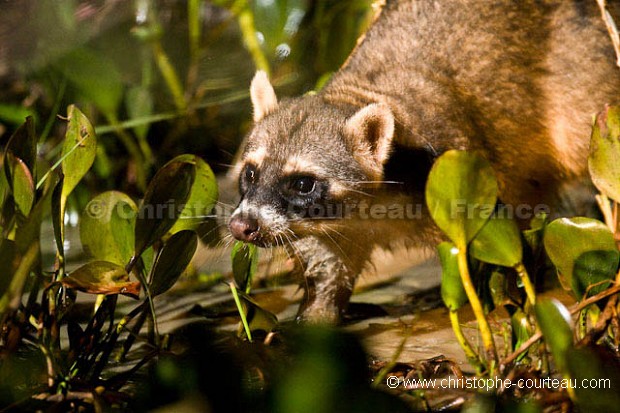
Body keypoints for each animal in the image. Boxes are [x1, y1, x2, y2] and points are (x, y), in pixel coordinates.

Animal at [228, 0, 620, 322]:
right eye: (251, 173)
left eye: (302, 182)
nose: (241, 226)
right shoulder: (332, 232)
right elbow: (325, 279)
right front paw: (314, 318)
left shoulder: (463, 180)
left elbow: (489, 267)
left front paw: (498, 305)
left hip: (584, 78)